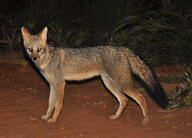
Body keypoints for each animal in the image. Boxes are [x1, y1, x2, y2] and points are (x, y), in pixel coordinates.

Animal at [21, 25, 168, 124]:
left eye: (39, 50)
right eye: (30, 49)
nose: (34, 58)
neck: (48, 59)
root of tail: (120, 48)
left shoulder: (60, 84)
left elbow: (57, 105)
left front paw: (53, 119)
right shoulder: (52, 85)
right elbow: (50, 104)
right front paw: (47, 117)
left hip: (123, 85)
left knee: (140, 97)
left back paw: (146, 119)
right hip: (109, 84)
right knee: (124, 100)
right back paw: (116, 117)